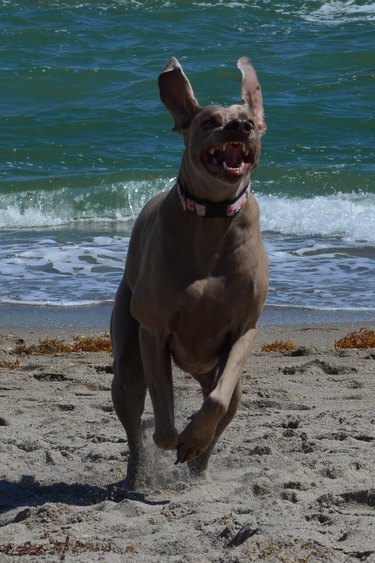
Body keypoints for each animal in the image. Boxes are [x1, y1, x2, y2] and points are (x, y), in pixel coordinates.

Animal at [110, 57, 268, 490]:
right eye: (210, 120)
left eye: (250, 119)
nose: (241, 126)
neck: (212, 218)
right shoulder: (153, 331)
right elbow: (162, 412)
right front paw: (173, 437)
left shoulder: (244, 329)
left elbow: (216, 402)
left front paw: (194, 438)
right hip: (125, 353)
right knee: (133, 416)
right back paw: (137, 477)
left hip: (221, 375)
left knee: (225, 404)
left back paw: (200, 466)